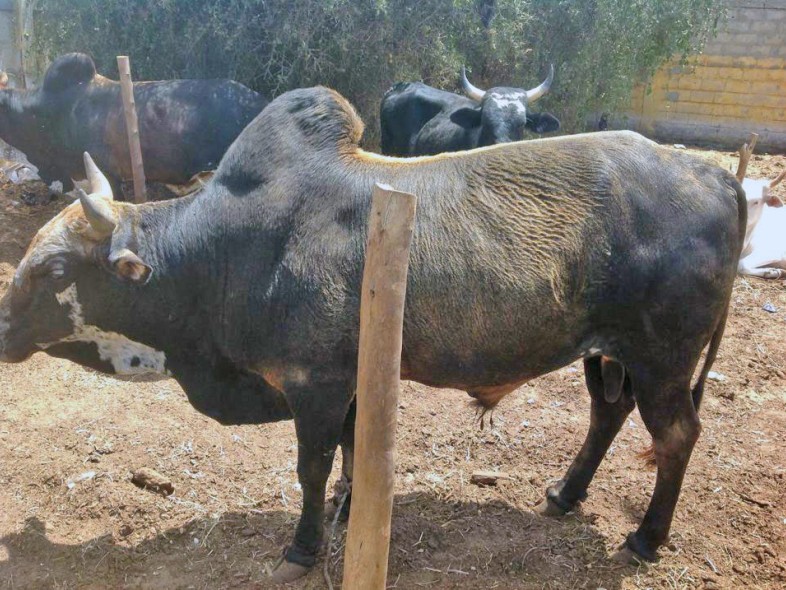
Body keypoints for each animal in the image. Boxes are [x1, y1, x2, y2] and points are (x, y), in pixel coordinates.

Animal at [0, 86, 744, 584]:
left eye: (56, 269)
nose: (3, 328)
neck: (224, 252)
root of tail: (714, 173)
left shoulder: (314, 384)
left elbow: (312, 467)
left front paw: (302, 548)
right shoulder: (353, 380)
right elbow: (353, 456)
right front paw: (349, 507)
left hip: (664, 357)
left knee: (678, 435)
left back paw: (646, 537)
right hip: (610, 353)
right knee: (608, 414)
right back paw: (565, 494)